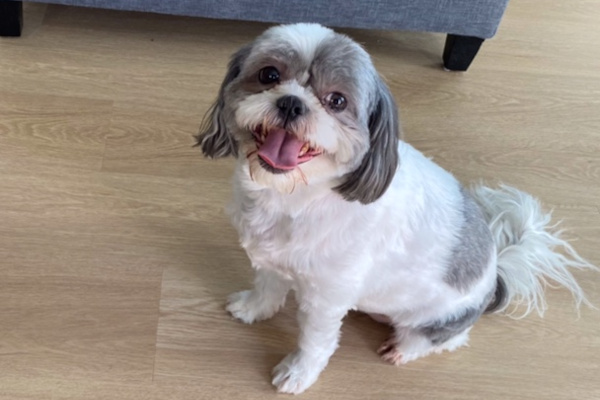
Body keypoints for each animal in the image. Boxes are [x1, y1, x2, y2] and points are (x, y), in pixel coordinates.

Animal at [196, 23, 596, 396]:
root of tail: (496, 271)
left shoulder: (327, 297)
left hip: (437, 320)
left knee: (447, 338)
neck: (300, 196)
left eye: (337, 100)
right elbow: (267, 287)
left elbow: (315, 341)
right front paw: (253, 308)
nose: (292, 103)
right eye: (269, 75)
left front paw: (297, 373)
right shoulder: (272, 259)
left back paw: (405, 348)